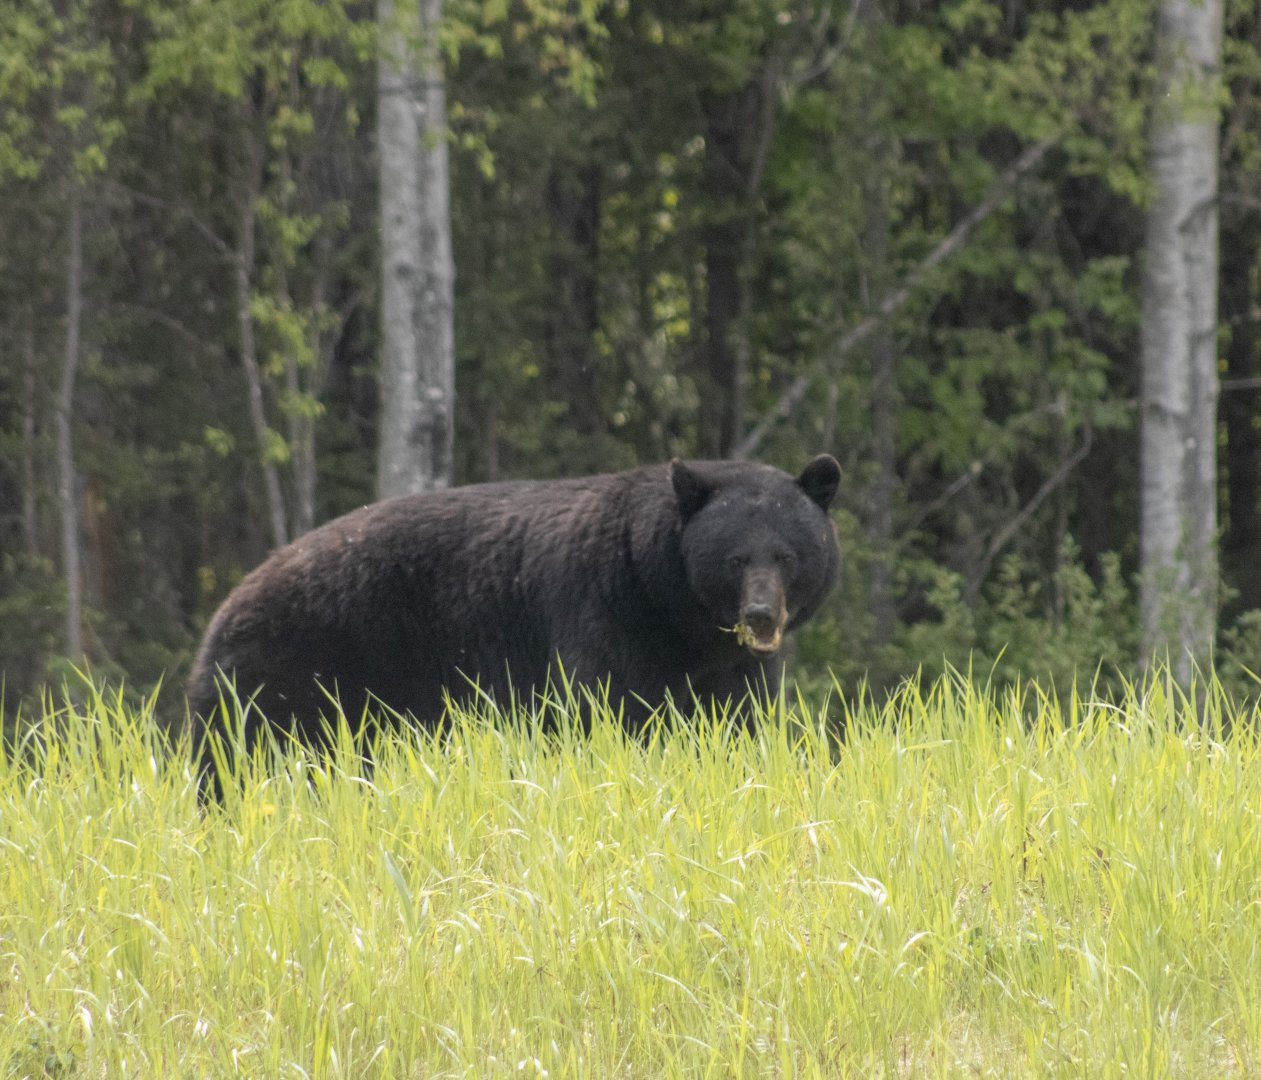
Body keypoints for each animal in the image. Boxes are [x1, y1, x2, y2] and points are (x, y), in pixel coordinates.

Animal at [186, 454, 840, 765]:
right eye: (735, 558)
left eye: (786, 555)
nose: (761, 615)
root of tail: (224, 609)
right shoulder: (601, 615)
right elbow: (608, 712)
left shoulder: (731, 667)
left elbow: (737, 721)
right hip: (287, 675)